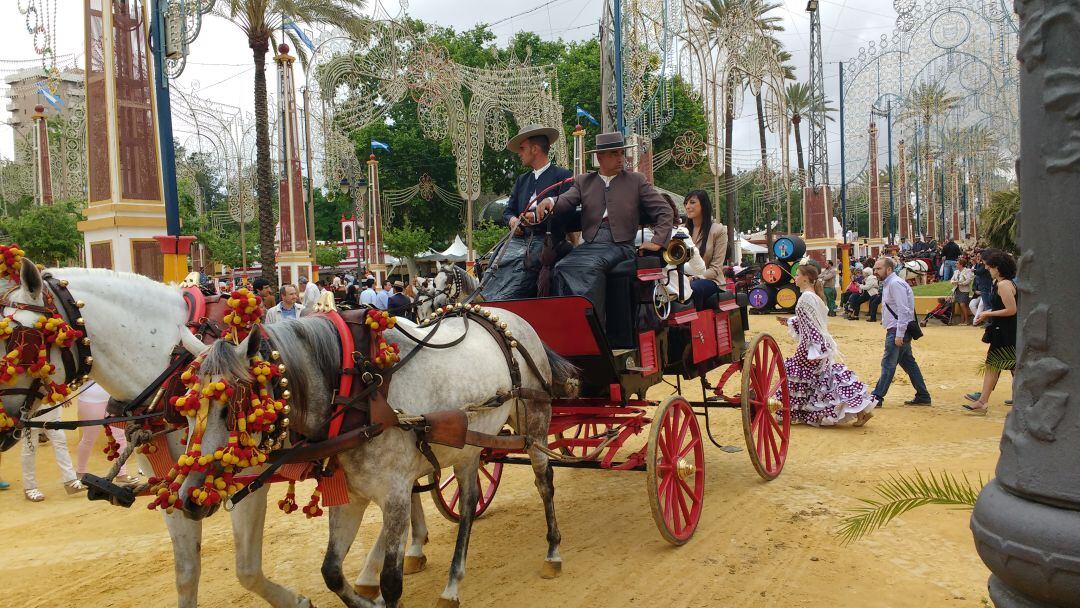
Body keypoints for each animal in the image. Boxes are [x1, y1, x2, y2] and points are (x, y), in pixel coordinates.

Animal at [0, 262, 425, 608]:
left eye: (19, 342)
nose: (2, 424)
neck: (169, 361)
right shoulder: (175, 482)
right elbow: (186, 575)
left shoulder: (246, 479)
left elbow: (247, 570)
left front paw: (297, 600)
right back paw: (406, 550)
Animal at [181, 308, 578, 608]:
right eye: (185, 410)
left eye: (231, 409)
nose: (189, 497)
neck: (360, 394)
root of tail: (504, 316)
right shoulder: (350, 495)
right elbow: (331, 572)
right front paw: (367, 601)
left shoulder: (397, 495)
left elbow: (391, 581)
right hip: (468, 448)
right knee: (468, 504)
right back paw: (452, 584)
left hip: (535, 422)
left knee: (544, 482)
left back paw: (553, 552)